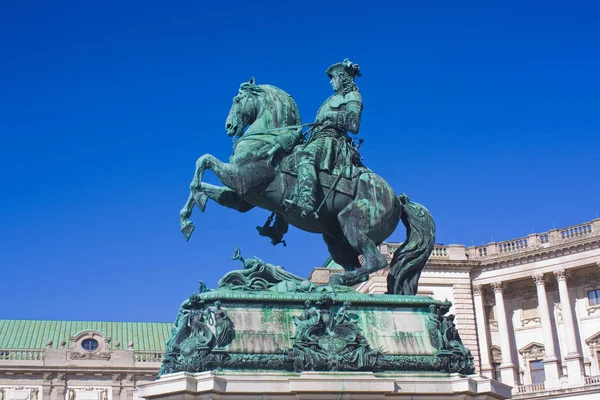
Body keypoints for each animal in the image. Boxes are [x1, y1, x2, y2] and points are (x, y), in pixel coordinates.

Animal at [179, 78, 436, 290]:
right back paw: (326, 285)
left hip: (352, 223)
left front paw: (187, 216)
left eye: (237, 99)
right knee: (359, 269)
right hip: (335, 240)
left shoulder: (241, 179)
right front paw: (189, 214)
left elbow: (204, 160)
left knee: (376, 260)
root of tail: (397, 199)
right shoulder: (241, 198)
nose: (229, 127)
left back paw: (331, 281)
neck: (267, 139)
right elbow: (204, 177)